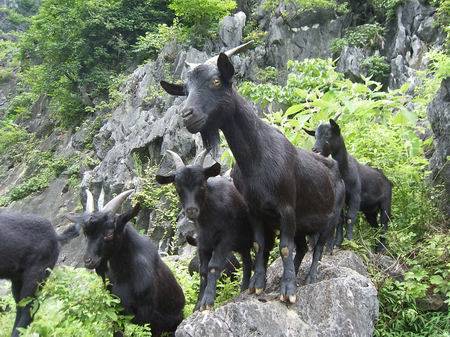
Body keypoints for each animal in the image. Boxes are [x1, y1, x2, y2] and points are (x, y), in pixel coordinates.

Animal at [65, 188, 185, 334]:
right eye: (86, 233)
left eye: (109, 234)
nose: (88, 260)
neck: (122, 273)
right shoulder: (115, 307)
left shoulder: (146, 312)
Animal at [156, 150, 253, 310]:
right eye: (177, 187)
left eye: (202, 184)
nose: (191, 210)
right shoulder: (203, 243)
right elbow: (203, 271)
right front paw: (198, 305)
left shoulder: (225, 239)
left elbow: (213, 267)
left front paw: (207, 302)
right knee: (247, 261)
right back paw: (244, 288)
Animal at [302, 118, 394, 249]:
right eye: (315, 136)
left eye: (328, 134)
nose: (315, 150)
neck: (345, 171)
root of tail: (388, 181)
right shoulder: (341, 198)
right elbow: (340, 219)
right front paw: (337, 243)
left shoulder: (355, 195)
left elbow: (350, 217)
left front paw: (350, 241)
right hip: (370, 211)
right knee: (375, 226)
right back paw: (376, 247)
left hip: (386, 203)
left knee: (384, 223)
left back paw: (382, 248)